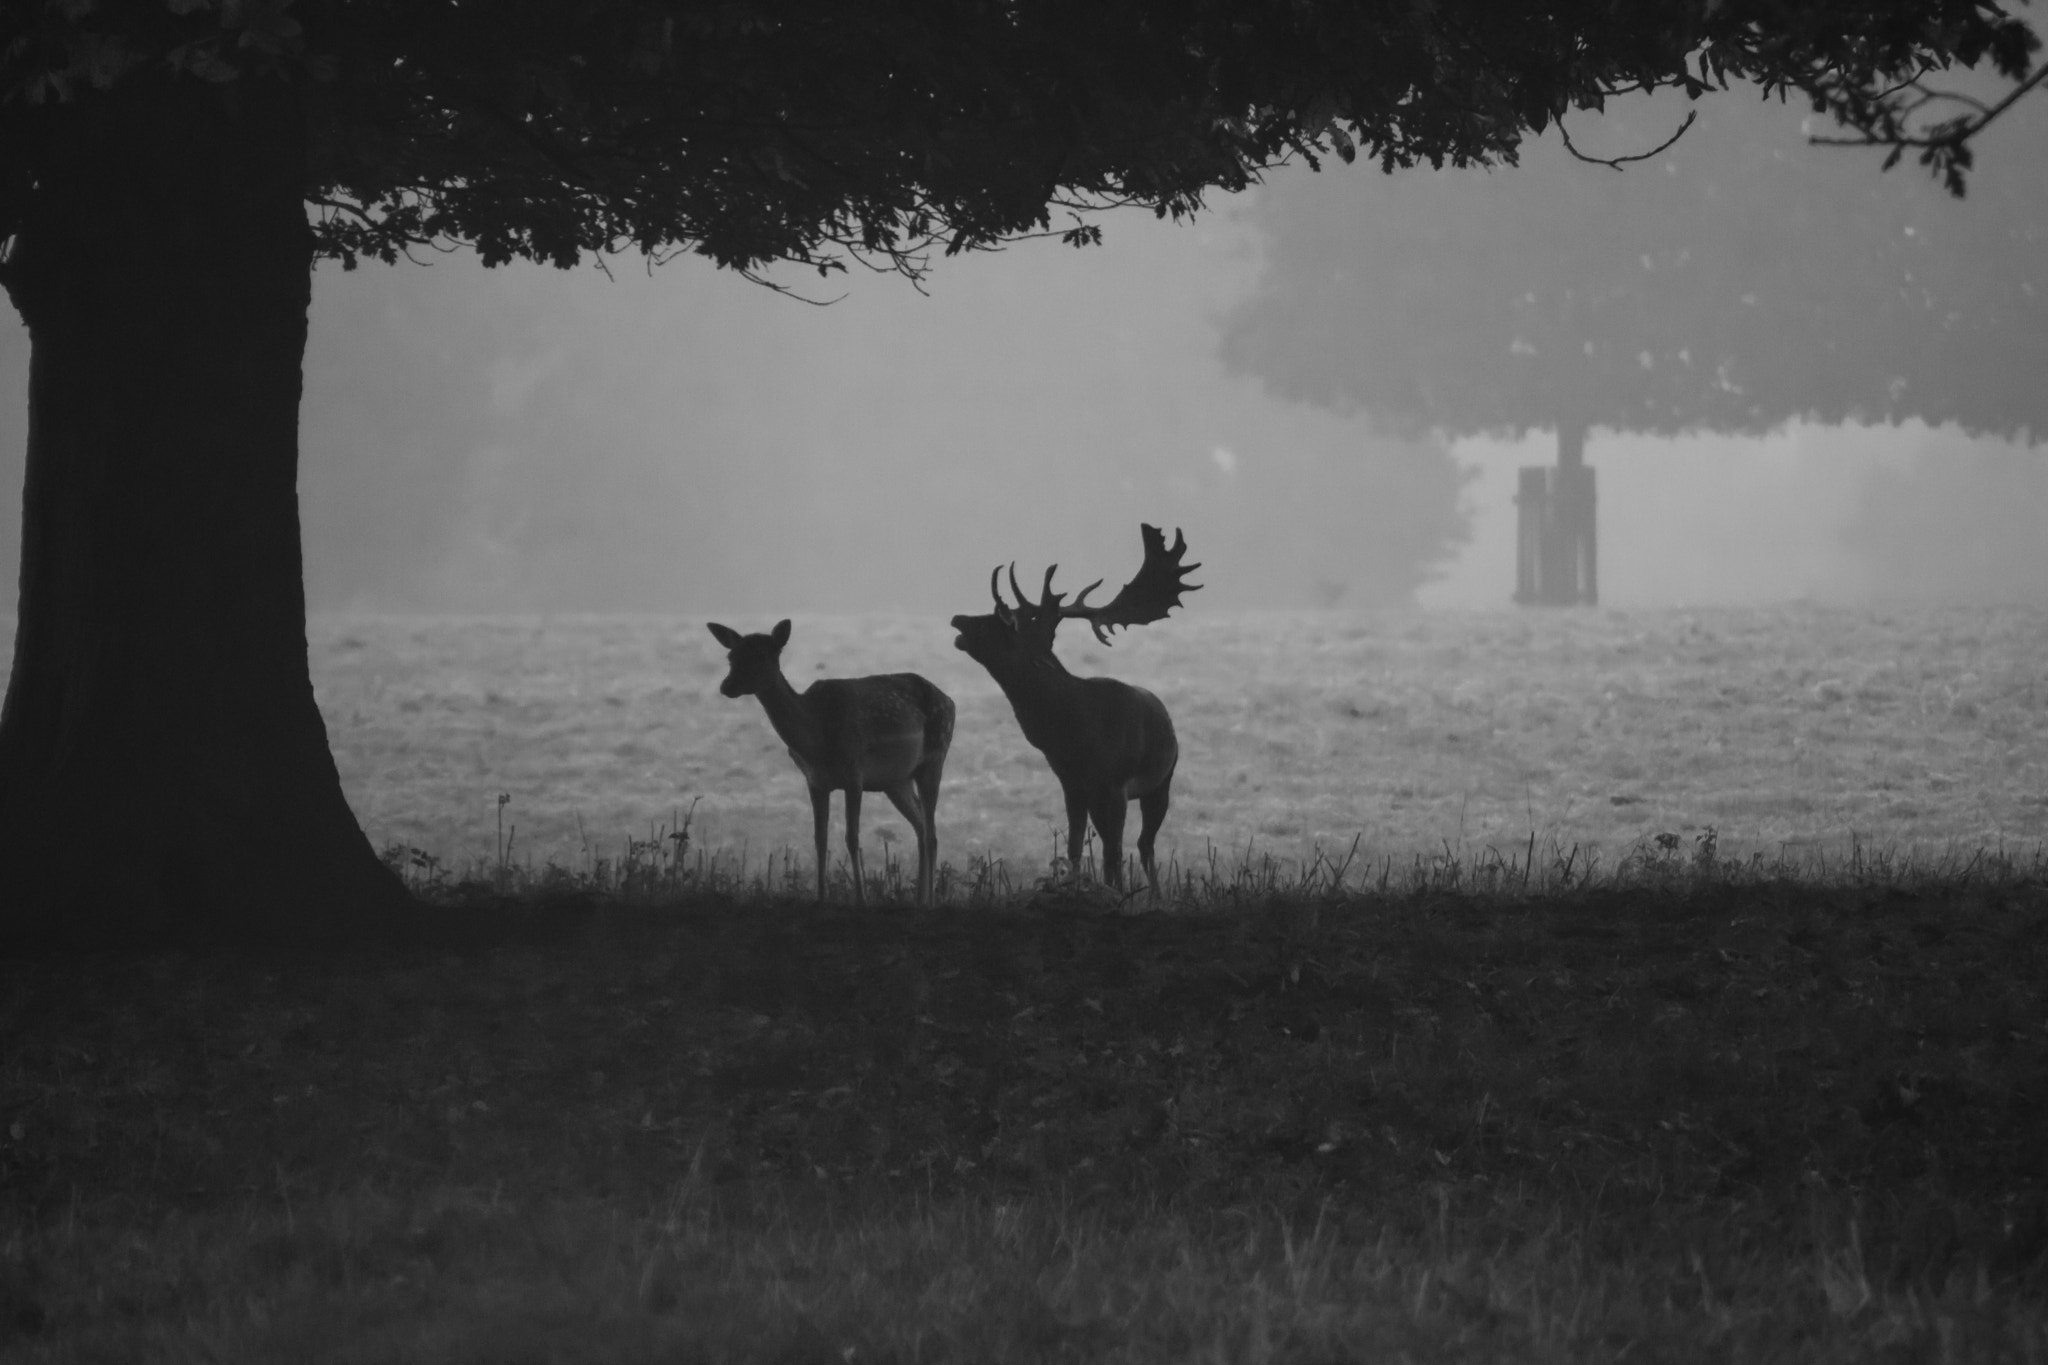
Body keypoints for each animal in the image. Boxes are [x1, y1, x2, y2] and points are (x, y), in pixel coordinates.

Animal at [706, 619, 955, 906]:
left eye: (761, 655)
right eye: (731, 656)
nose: (727, 686)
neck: (816, 740)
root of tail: (950, 701)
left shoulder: (854, 772)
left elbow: (852, 837)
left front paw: (861, 900)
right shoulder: (814, 780)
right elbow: (820, 839)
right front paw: (821, 897)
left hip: (935, 756)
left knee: (931, 833)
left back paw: (931, 901)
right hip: (896, 781)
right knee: (920, 827)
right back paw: (919, 900)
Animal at [950, 524, 1200, 898]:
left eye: (998, 624)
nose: (958, 619)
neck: (1073, 733)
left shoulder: (1115, 785)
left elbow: (1113, 853)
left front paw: (1116, 894)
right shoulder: (1073, 785)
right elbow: (1073, 850)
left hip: (1162, 781)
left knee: (1145, 845)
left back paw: (1155, 894)